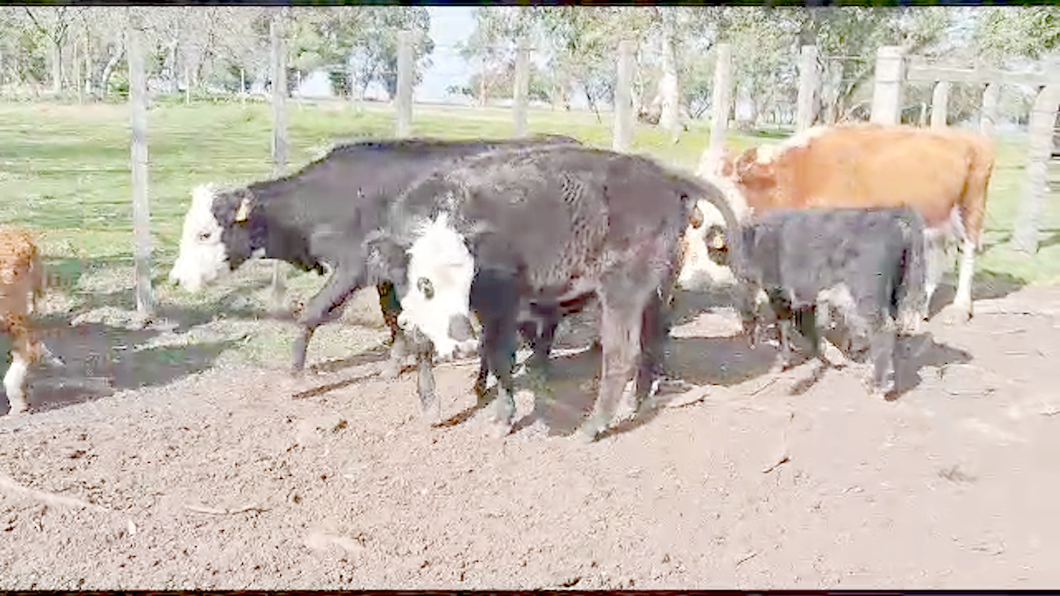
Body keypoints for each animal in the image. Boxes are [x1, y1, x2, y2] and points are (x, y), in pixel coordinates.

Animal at [167, 135, 580, 375]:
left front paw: (296, 371)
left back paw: (539, 358)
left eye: (205, 233)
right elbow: (392, 316)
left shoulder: (352, 267)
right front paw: (396, 362)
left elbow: (313, 312)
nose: (176, 279)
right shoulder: (386, 273)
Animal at [364, 144, 737, 441]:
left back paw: (593, 427)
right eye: (425, 283)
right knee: (655, 337)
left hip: (622, 289)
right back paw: (639, 400)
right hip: (659, 286)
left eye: (469, 277)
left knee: (621, 354)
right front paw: (437, 404)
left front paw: (503, 417)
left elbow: (498, 354)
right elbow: (425, 345)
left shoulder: (501, 301)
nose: (460, 347)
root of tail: (662, 174)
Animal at [686, 121, 992, 322]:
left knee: (968, 250)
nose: (690, 280)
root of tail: (968, 136)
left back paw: (960, 308)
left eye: (715, 236)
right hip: (936, 219)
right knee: (937, 256)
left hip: (972, 207)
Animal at [703, 206, 928, 396]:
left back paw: (877, 386)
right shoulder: (805, 295)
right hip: (894, 293)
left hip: (867, 293)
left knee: (882, 329)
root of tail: (893, 220)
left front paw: (782, 362)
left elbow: (785, 324)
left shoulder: (778, 291)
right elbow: (806, 323)